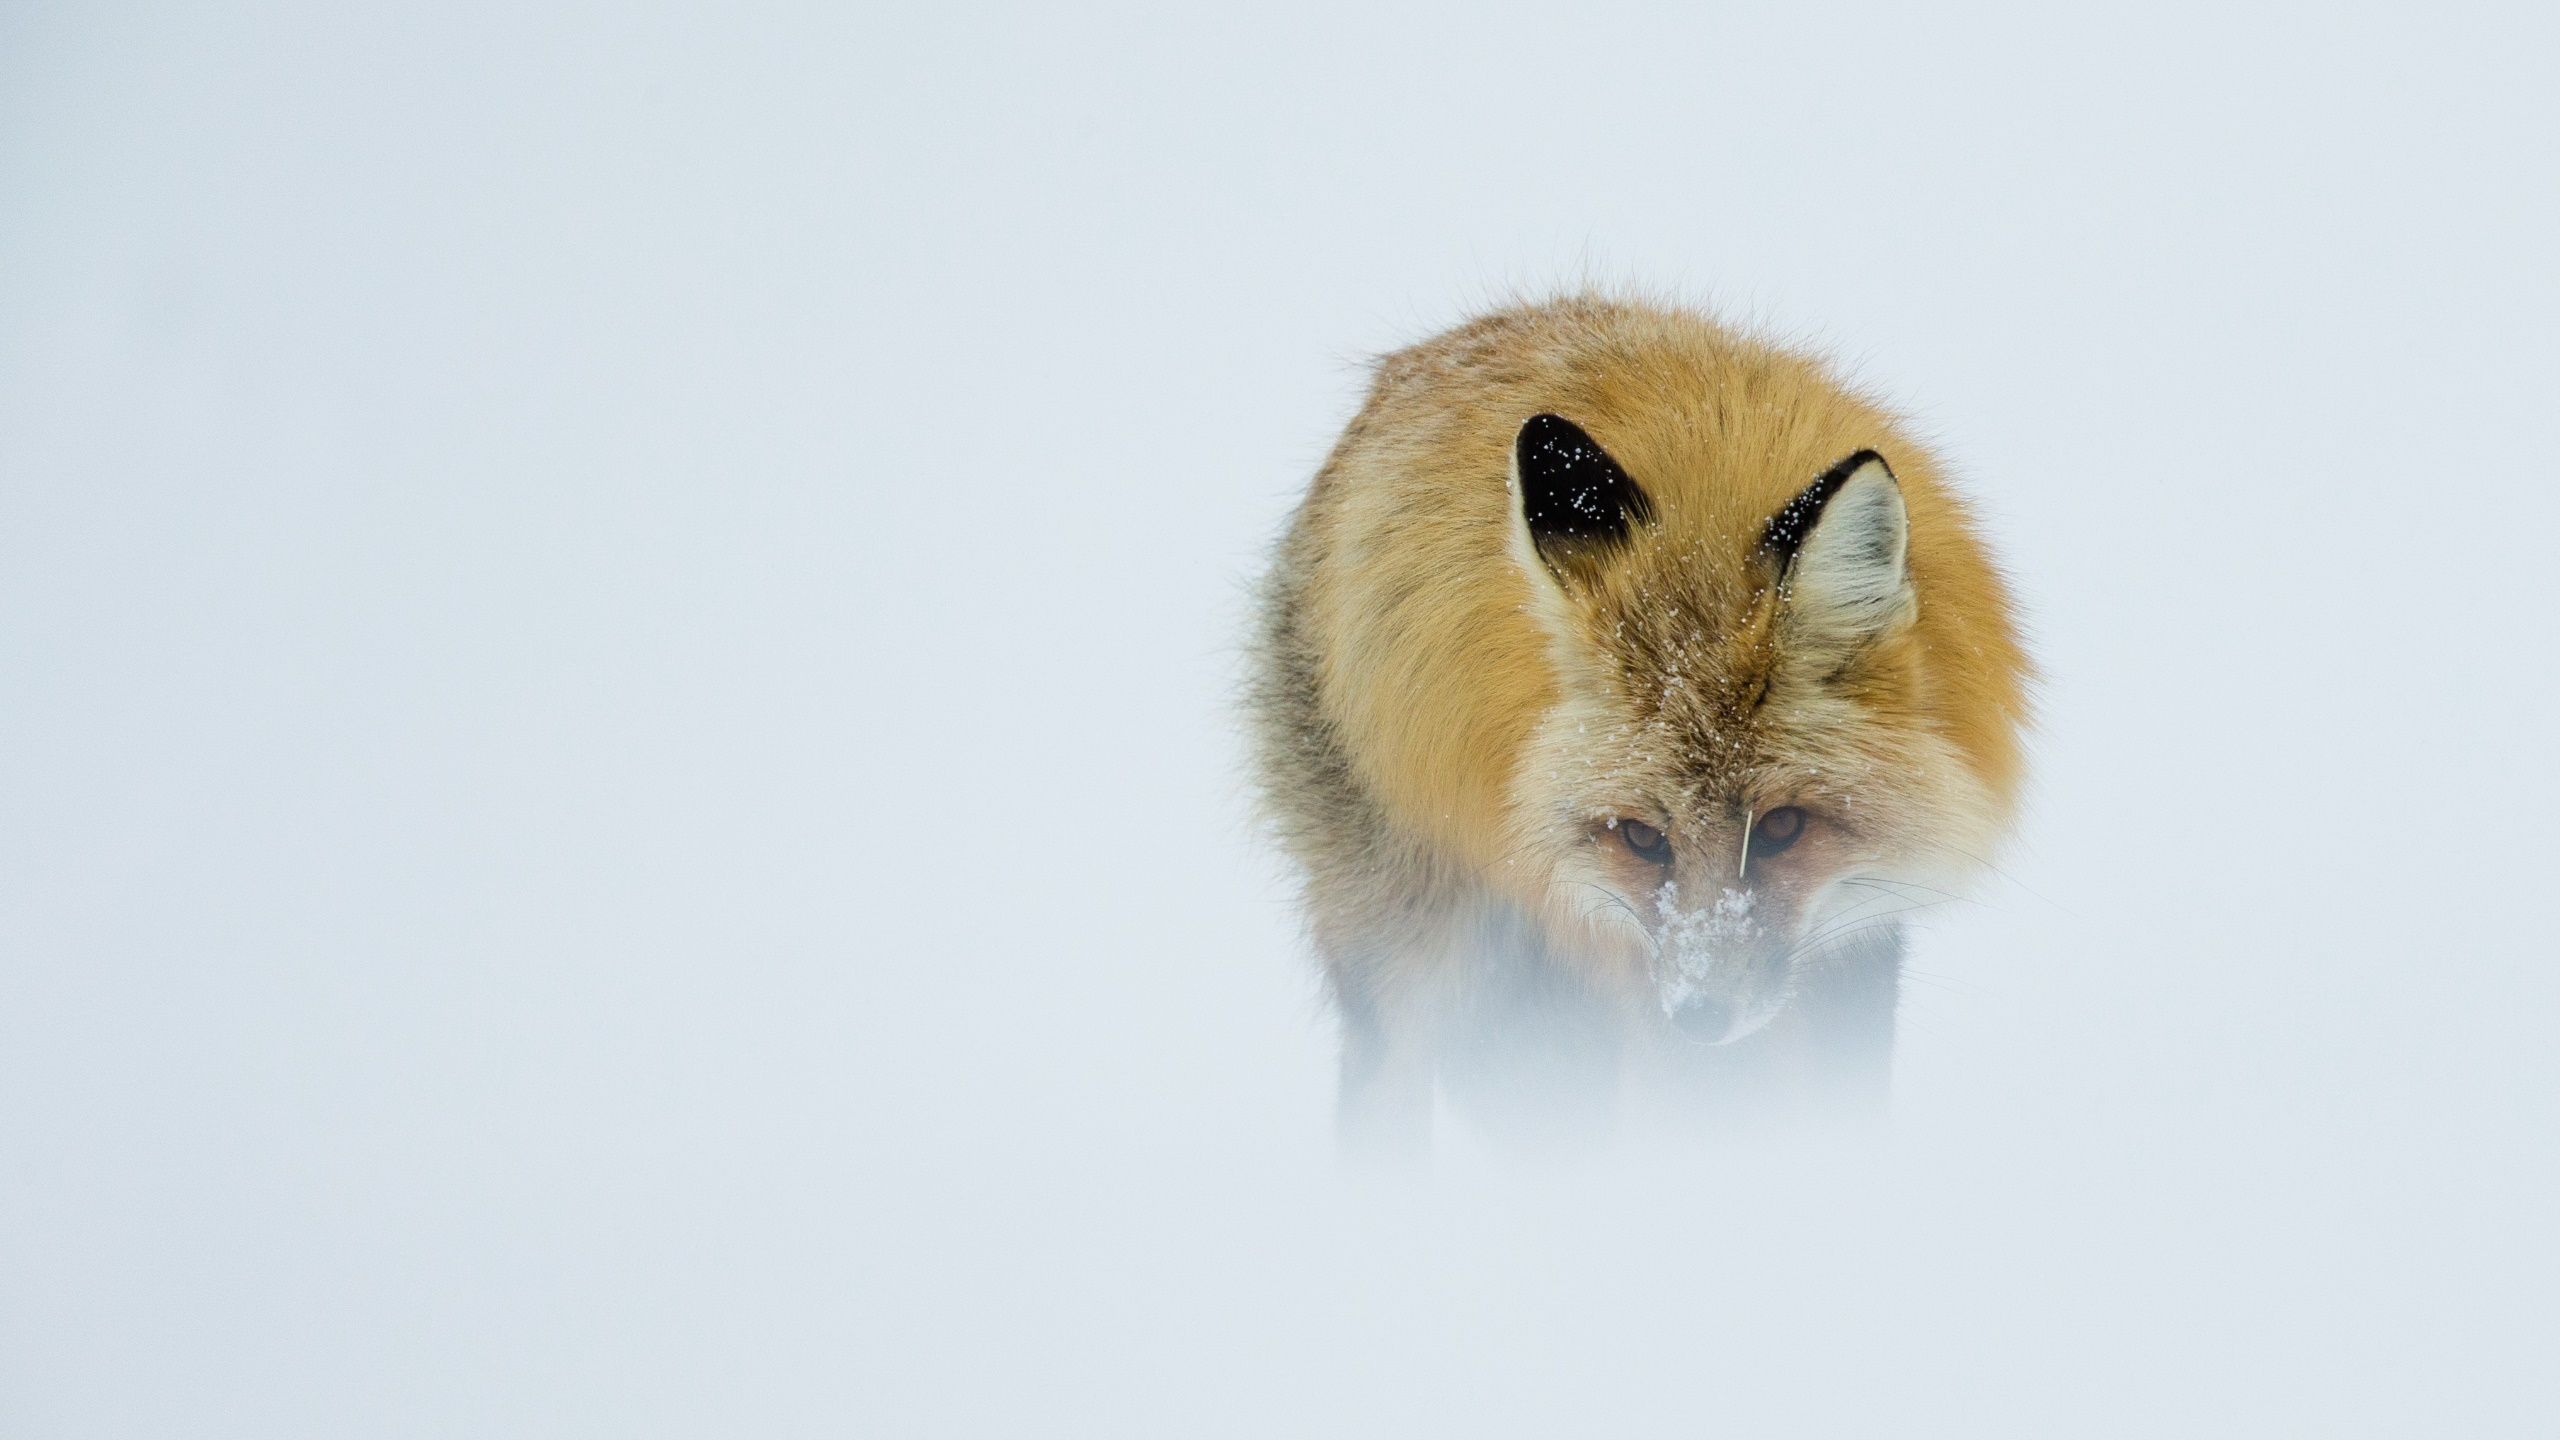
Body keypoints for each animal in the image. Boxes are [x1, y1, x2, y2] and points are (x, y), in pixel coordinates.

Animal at [1246, 295, 2031, 1152]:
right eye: (1641, 837)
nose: (1702, 1017)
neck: (1705, 518)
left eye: (1783, 827)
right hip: (1417, 958)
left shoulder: (1855, 940)